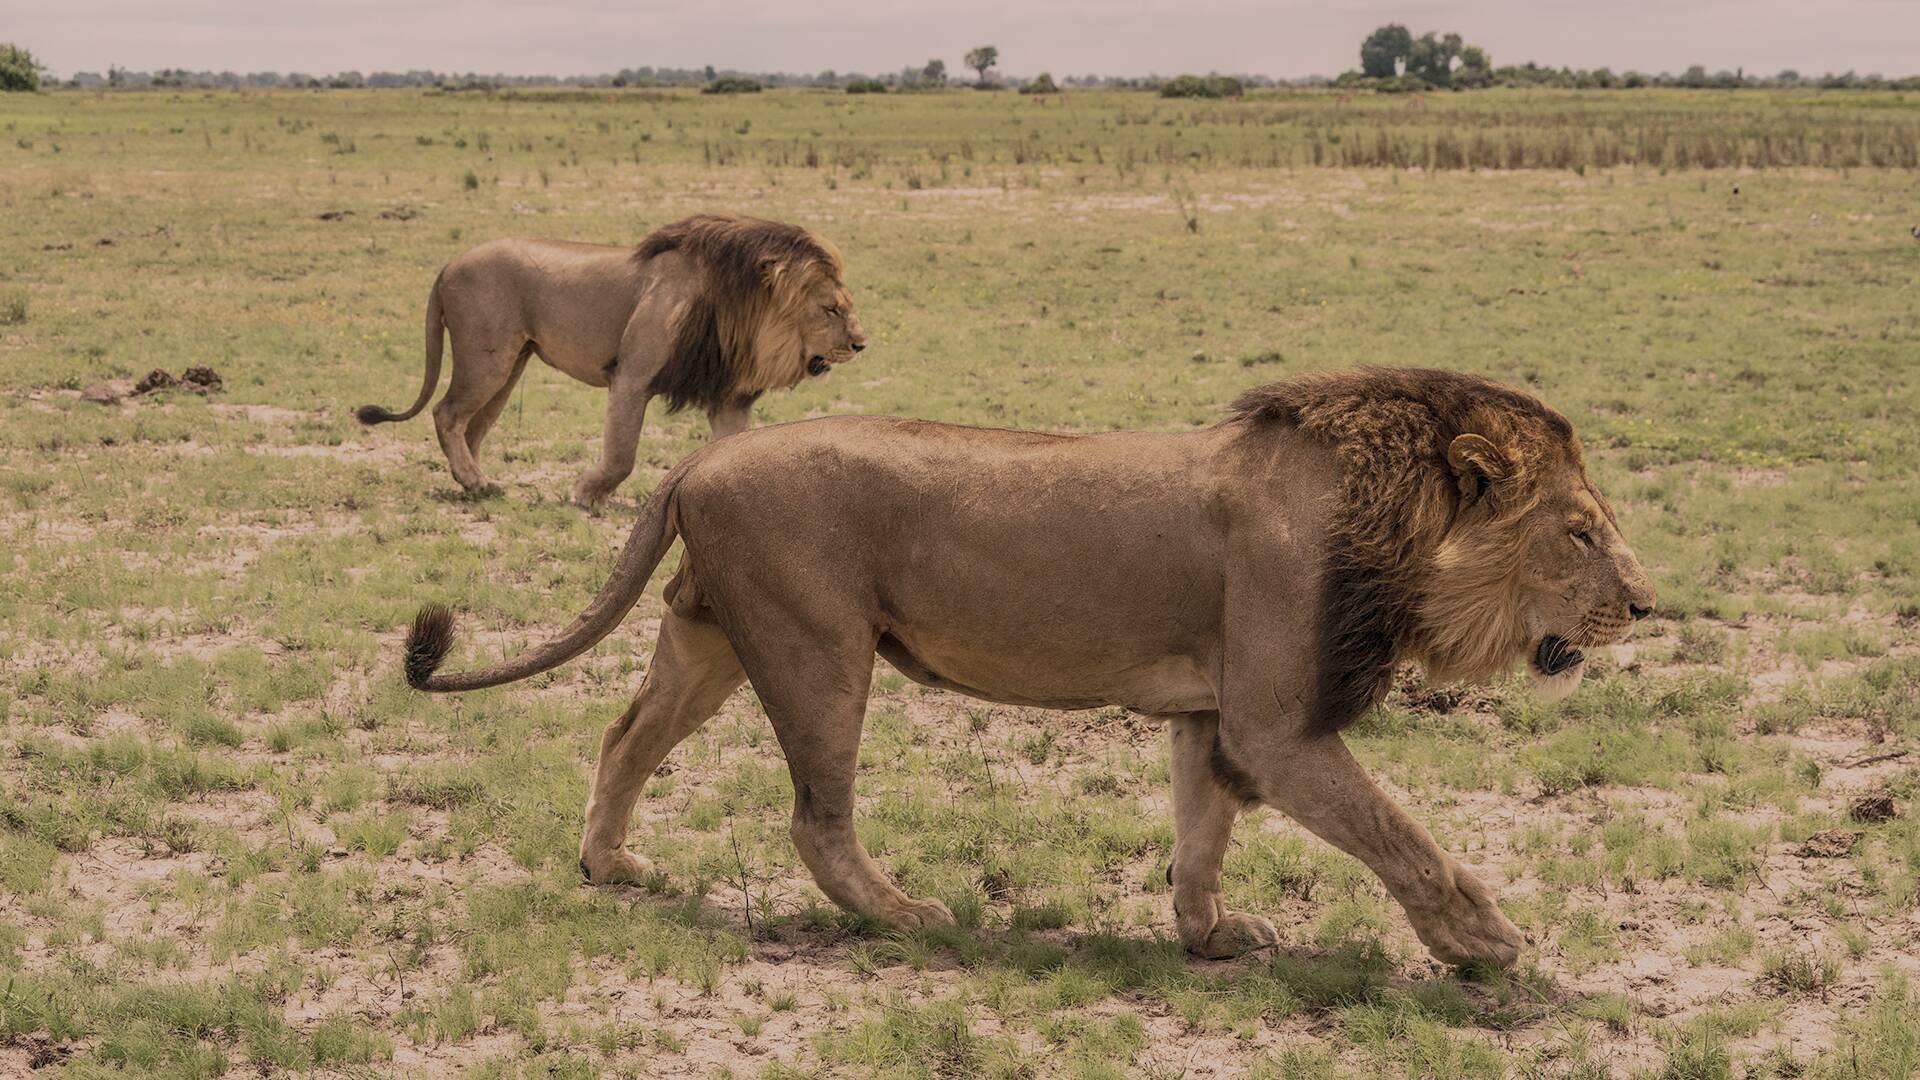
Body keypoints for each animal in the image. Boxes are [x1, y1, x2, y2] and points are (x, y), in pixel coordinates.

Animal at [357, 216, 867, 511]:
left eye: (847, 305)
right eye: (831, 309)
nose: (862, 344)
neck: (738, 314)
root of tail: (449, 263)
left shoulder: (727, 399)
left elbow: (732, 449)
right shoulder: (632, 376)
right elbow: (622, 454)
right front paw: (586, 494)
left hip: (509, 364)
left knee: (473, 426)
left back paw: (475, 483)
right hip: (487, 357)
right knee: (447, 414)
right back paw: (476, 483)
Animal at [393, 368, 1651, 968]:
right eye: (1581, 531)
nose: (1646, 605)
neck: (1398, 522)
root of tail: (697, 463)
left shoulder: (1216, 717)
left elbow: (1202, 834)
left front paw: (1210, 937)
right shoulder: (1280, 725)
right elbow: (1406, 838)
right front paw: (1488, 945)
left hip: (710, 639)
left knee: (625, 736)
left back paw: (611, 865)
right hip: (817, 648)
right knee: (815, 816)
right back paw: (904, 914)